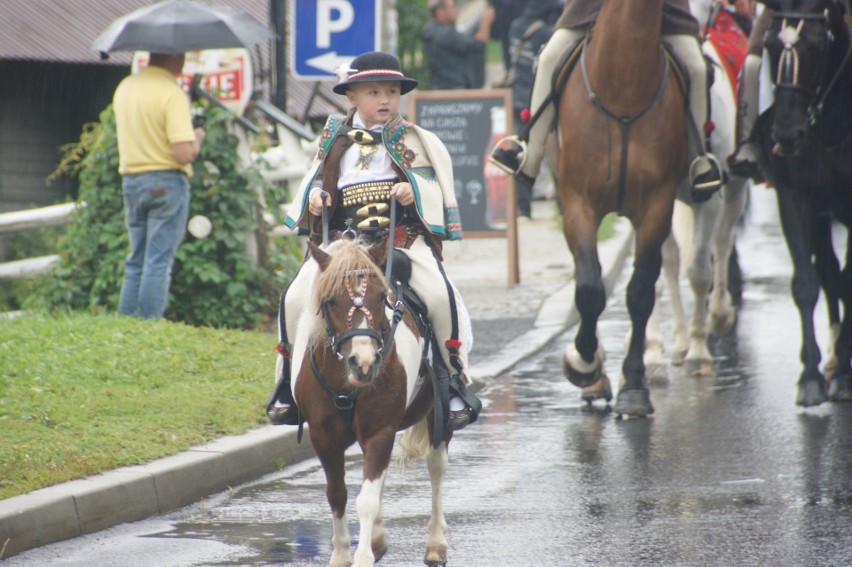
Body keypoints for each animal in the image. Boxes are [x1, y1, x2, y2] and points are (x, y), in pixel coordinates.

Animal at [560, 0, 684, 418]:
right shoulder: (576, 203)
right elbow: (589, 289)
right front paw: (583, 363)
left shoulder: (658, 205)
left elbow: (640, 293)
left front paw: (634, 385)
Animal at [644, 1, 748, 382]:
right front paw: (655, 355)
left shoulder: (712, 197)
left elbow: (701, 270)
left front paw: (700, 352)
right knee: (673, 261)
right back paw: (678, 340)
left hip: (734, 190)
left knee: (720, 242)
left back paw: (717, 316)